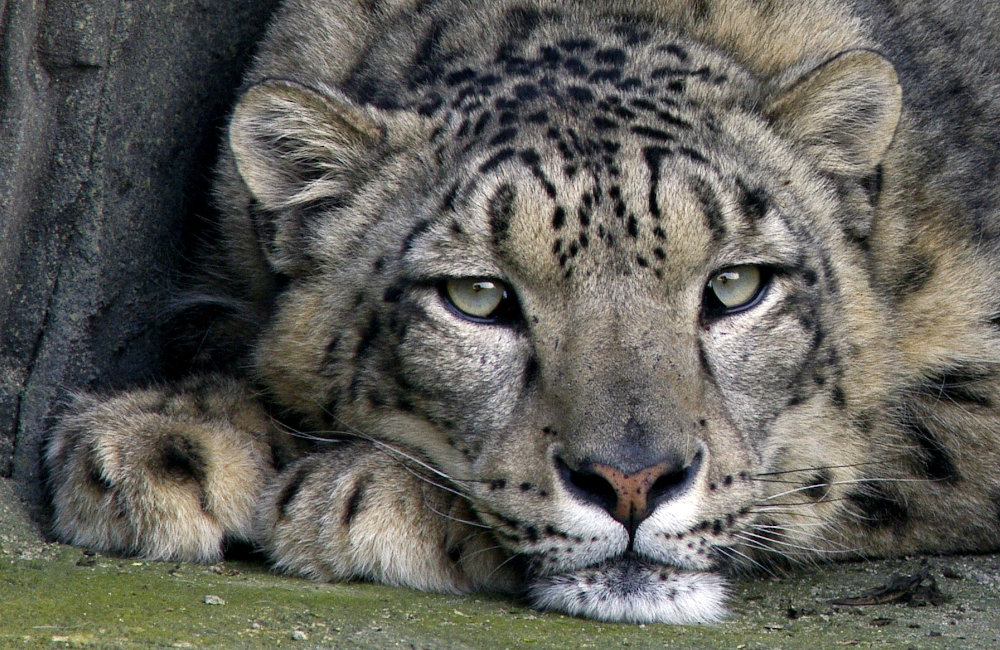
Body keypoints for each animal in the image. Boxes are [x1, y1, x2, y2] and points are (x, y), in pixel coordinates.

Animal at [43, 0, 1000, 624]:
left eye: (735, 286)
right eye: (478, 297)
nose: (632, 482)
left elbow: (854, 458)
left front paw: (367, 496)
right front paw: (167, 442)